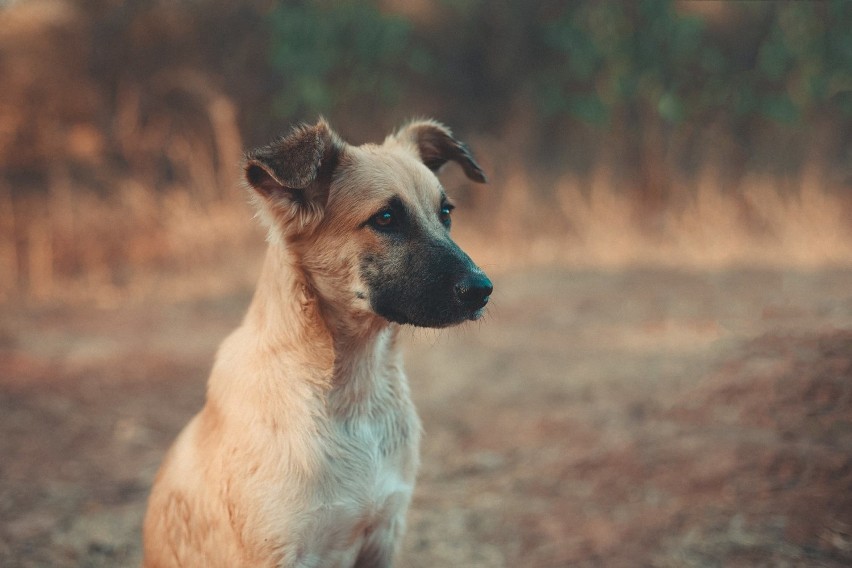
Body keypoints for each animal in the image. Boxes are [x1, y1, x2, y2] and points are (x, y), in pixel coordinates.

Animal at [143, 117, 492, 564]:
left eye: (445, 213)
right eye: (385, 218)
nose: (483, 290)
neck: (353, 398)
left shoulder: (384, 533)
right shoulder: (279, 551)